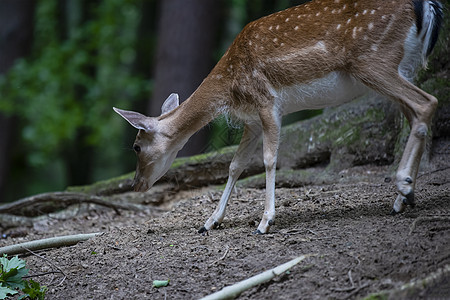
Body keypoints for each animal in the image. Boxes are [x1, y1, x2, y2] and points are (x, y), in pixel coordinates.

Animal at [114, 0, 444, 234]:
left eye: (136, 147)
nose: (136, 185)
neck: (229, 89)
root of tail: (428, 6)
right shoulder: (251, 121)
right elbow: (235, 165)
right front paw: (210, 221)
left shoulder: (267, 101)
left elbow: (270, 158)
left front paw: (265, 222)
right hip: (399, 67)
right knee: (415, 116)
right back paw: (403, 197)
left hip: (375, 61)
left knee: (428, 102)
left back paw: (404, 187)